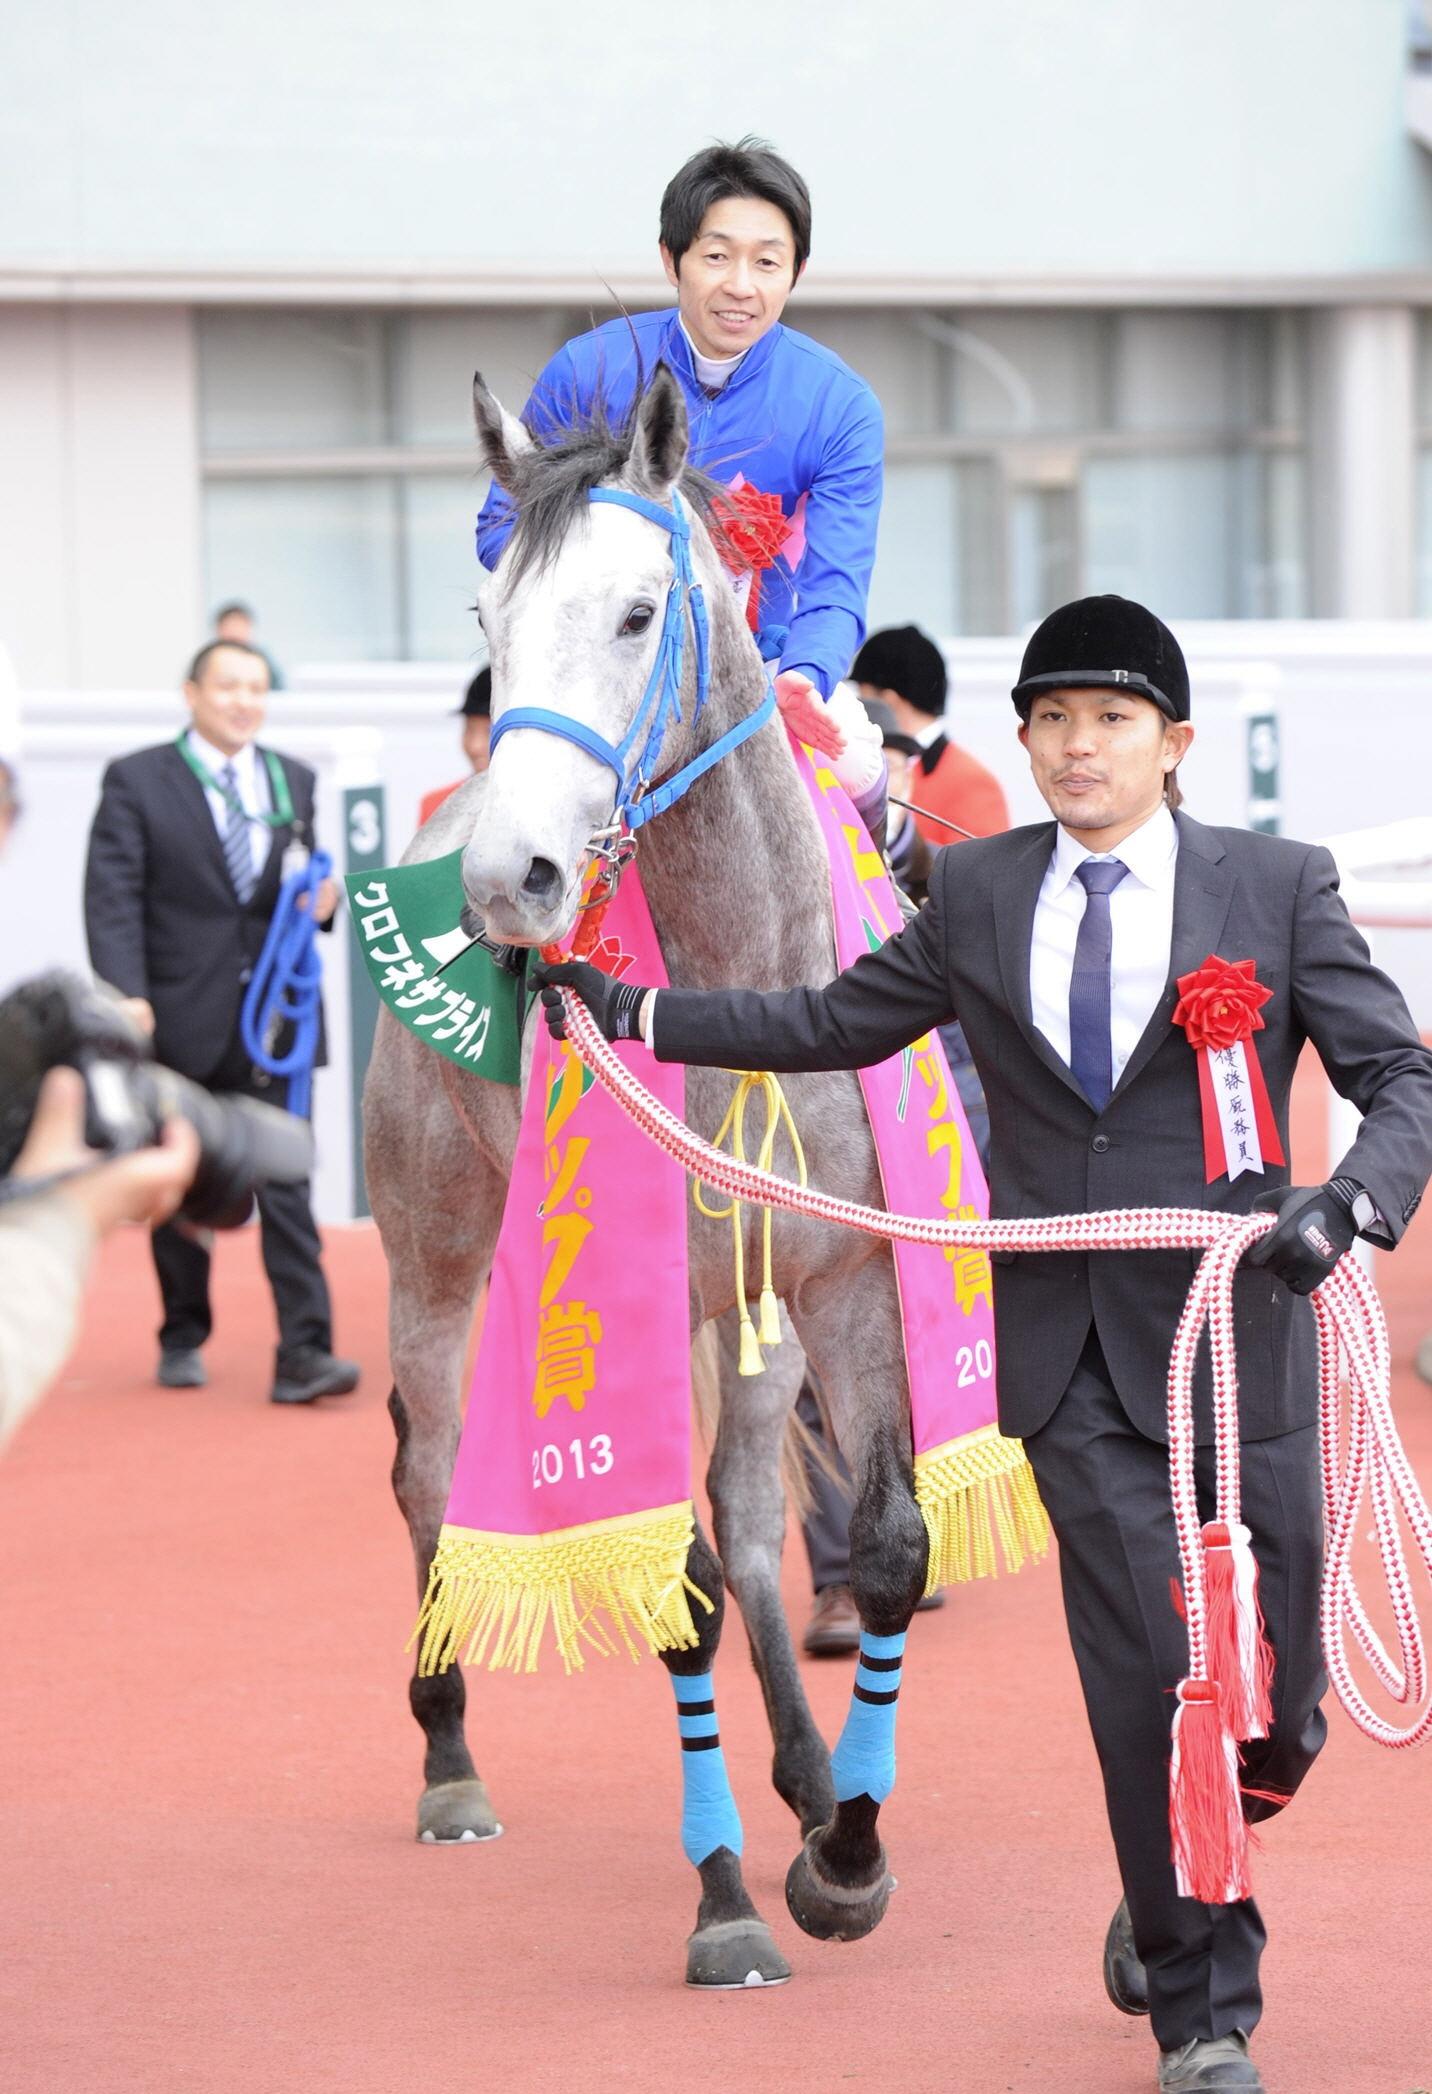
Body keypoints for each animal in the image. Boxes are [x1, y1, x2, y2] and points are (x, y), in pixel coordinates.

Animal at [364, 368, 933, 1985]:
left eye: (634, 614)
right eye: (488, 614)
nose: (513, 882)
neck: (757, 989)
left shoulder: (844, 1270)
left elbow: (880, 1542)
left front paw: (848, 1851)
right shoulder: (632, 1291)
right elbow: (670, 1581)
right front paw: (728, 1899)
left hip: (750, 1301)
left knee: (749, 1505)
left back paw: (809, 1778)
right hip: (436, 1244)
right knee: (427, 1464)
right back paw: (448, 1757)